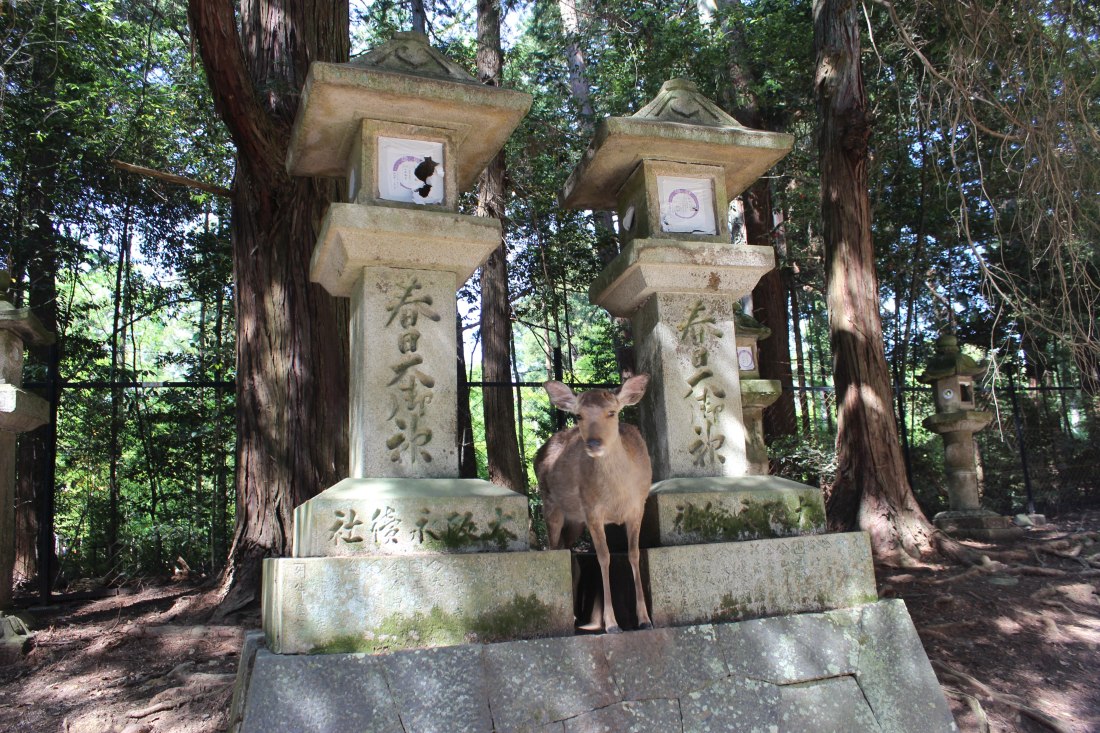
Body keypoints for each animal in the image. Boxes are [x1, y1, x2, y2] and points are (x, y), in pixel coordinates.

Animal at [534, 374, 651, 629]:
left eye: (612, 412)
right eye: (579, 415)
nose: (594, 443)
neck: (617, 496)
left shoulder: (638, 507)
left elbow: (634, 554)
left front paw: (645, 619)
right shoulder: (592, 512)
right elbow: (604, 557)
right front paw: (611, 623)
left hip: (575, 522)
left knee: (569, 552)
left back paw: (577, 614)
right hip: (550, 504)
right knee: (554, 549)